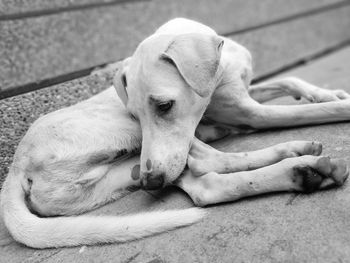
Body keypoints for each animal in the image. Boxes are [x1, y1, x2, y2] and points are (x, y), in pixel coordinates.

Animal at [0, 18, 350, 250]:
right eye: (135, 113)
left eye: (164, 105)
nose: (151, 182)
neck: (222, 66)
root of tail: (16, 166)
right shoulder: (249, 112)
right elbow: (316, 111)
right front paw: (336, 103)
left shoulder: (246, 94)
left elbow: (291, 80)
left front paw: (327, 92)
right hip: (130, 136)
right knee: (211, 161)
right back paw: (294, 155)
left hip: (125, 174)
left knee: (205, 186)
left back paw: (302, 173)